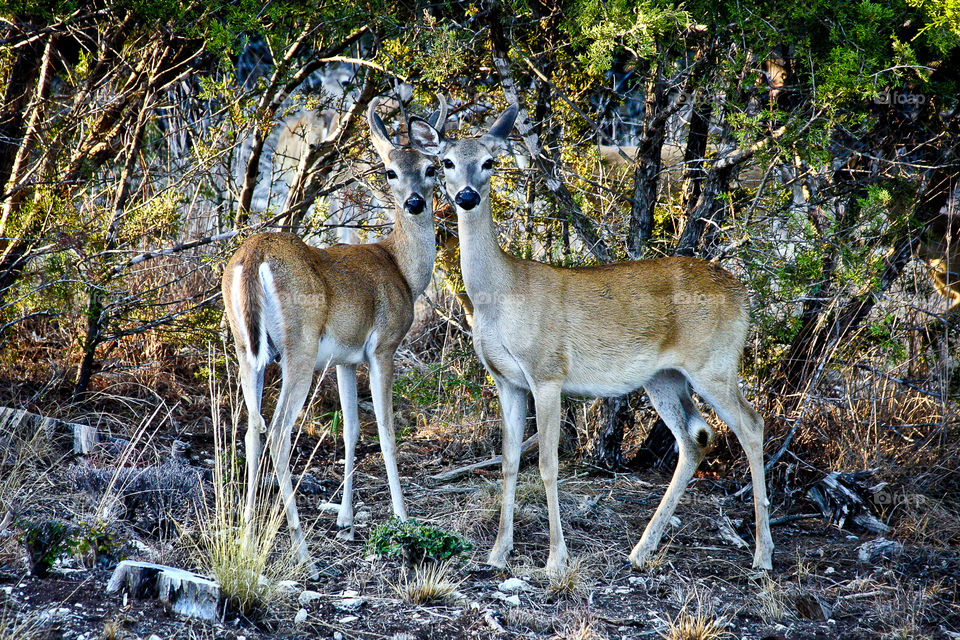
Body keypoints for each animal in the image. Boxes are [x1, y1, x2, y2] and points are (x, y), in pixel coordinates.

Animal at [223, 97, 444, 576]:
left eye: (431, 167)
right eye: (390, 172)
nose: (415, 202)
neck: (402, 270)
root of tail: (253, 256)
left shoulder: (345, 358)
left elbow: (352, 430)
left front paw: (345, 519)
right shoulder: (383, 346)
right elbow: (386, 430)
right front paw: (402, 516)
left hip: (246, 347)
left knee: (252, 429)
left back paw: (247, 537)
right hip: (300, 345)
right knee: (279, 431)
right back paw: (302, 550)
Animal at [412, 105, 772, 576]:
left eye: (489, 162)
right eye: (445, 163)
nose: (467, 197)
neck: (502, 295)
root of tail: (742, 293)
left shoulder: (547, 373)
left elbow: (547, 465)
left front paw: (555, 559)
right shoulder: (506, 381)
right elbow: (508, 462)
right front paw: (498, 553)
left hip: (714, 363)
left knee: (751, 425)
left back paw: (763, 555)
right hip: (664, 377)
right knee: (695, 438)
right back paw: (641, 549)